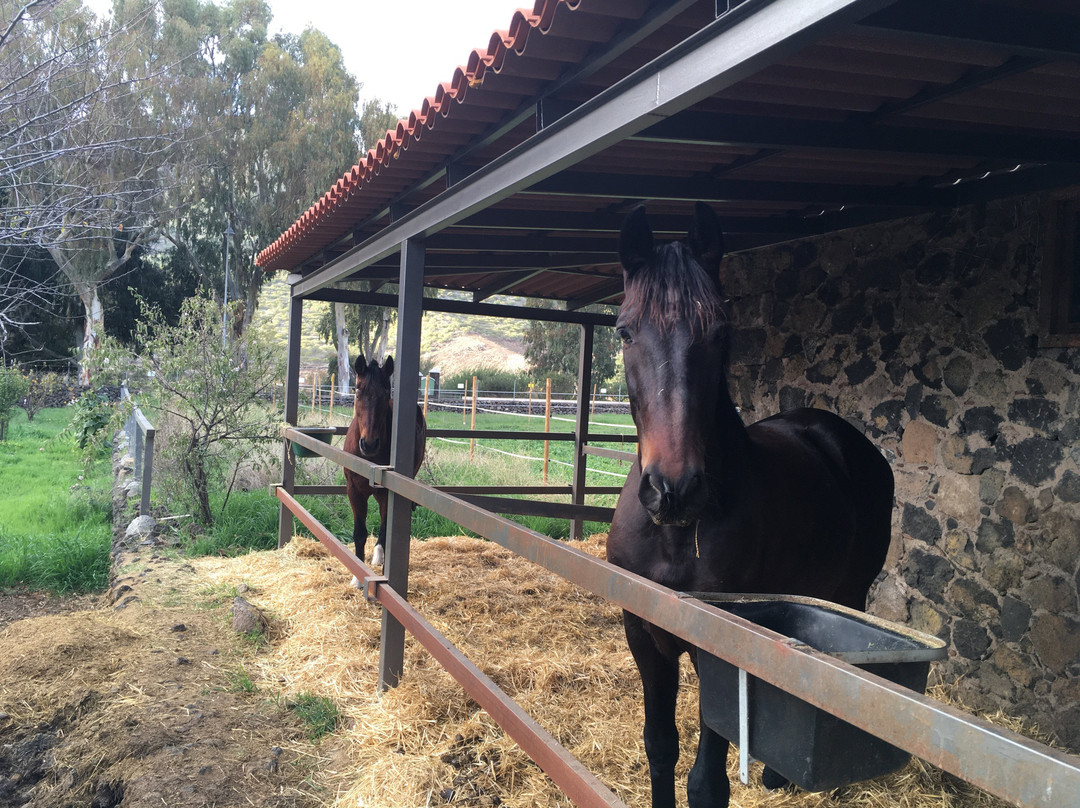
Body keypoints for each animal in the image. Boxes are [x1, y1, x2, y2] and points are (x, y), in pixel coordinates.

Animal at [347, 354, 427, 578]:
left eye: (384, 393)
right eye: (358, 390)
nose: (369, 444)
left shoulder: (388, 493)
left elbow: (386, 528)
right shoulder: (354, 490)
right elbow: (359, 533)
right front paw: (357, 577)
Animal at [609, 203, 894, 808]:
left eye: (721, 331)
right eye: (624, 331)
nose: (674, 489)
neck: (676, 536)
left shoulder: (724, 650)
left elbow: (706, 782)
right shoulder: (643, 634)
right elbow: (659, 747)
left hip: (849, 593)